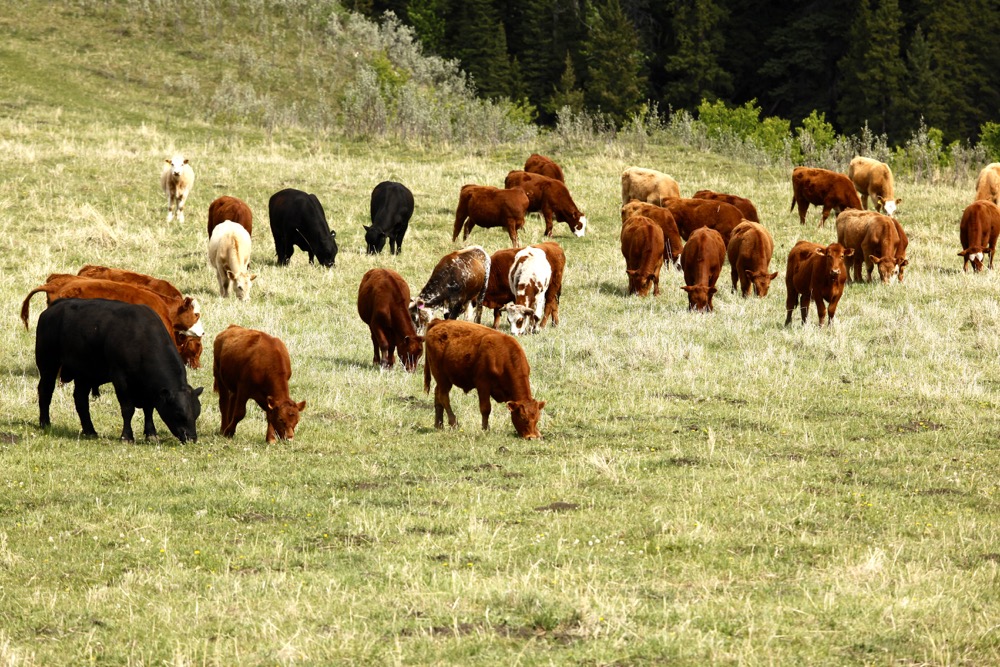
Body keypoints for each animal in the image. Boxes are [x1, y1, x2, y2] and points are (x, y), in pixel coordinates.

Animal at [36, 298, 202, 442]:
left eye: (196, 413)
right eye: (178, 413)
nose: (191, 438)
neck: (141, 339)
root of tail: (54, 307)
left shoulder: (148, 389)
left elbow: (149, 409)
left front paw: (151, 434)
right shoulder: (120, 379)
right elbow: (128, 409)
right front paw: (127, 436)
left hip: (85, 373)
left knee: (80, 399)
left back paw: (90, 430)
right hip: (48, 365)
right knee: (45, 390)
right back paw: (45, 423)